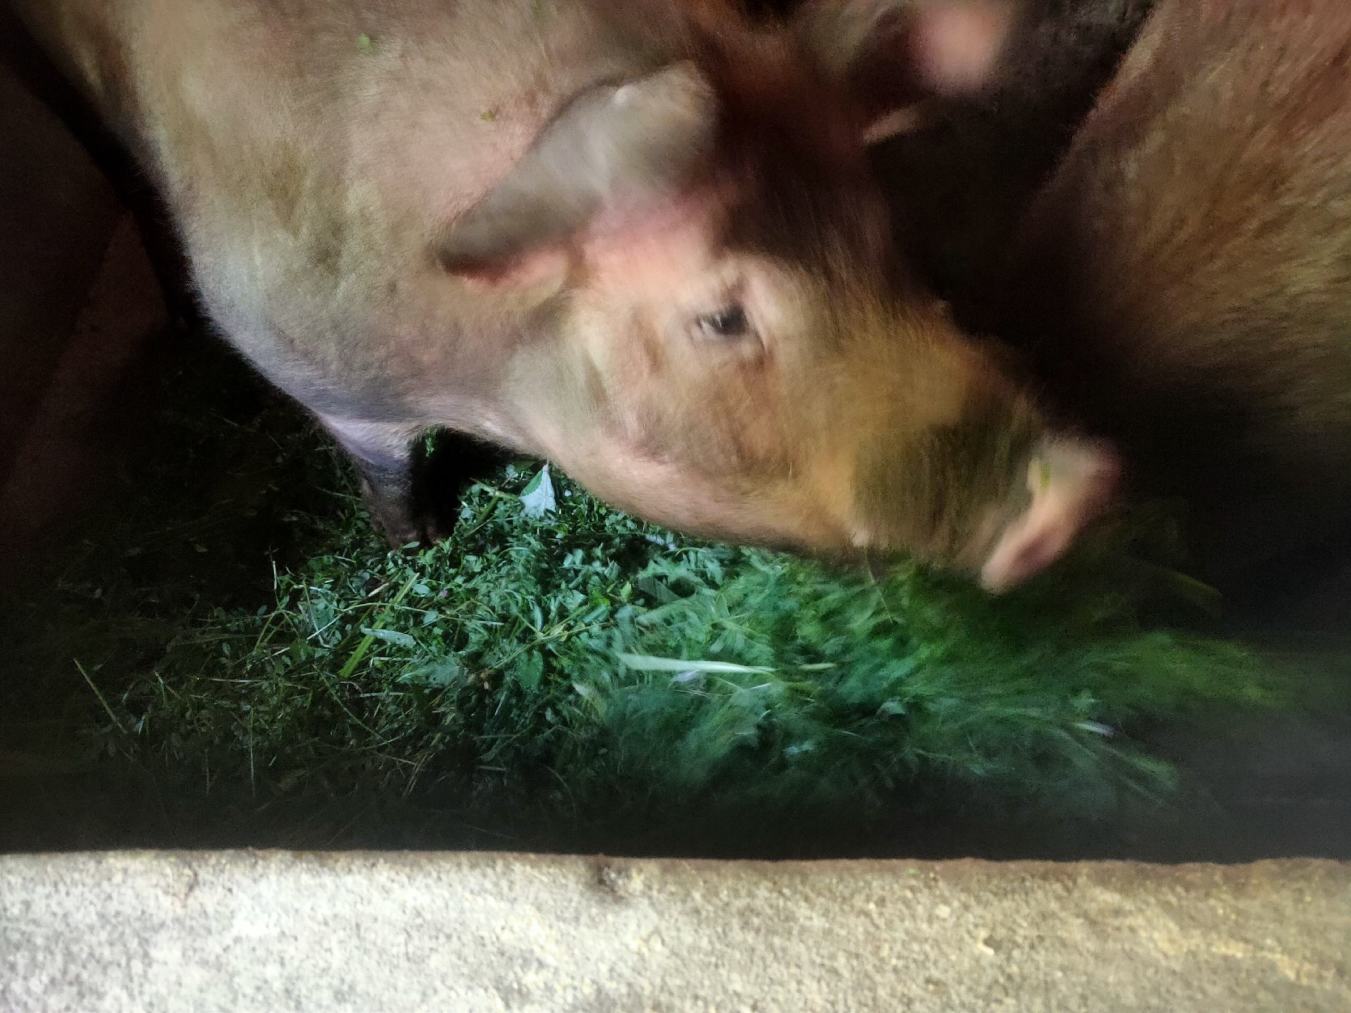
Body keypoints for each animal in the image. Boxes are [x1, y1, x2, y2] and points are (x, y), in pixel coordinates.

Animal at [9, 0, 1118, 592]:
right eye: (721, 316)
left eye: (880, 240)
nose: (1081, 486)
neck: (489, 382)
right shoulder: (318, 366)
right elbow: (386, 474)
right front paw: (417, 550)